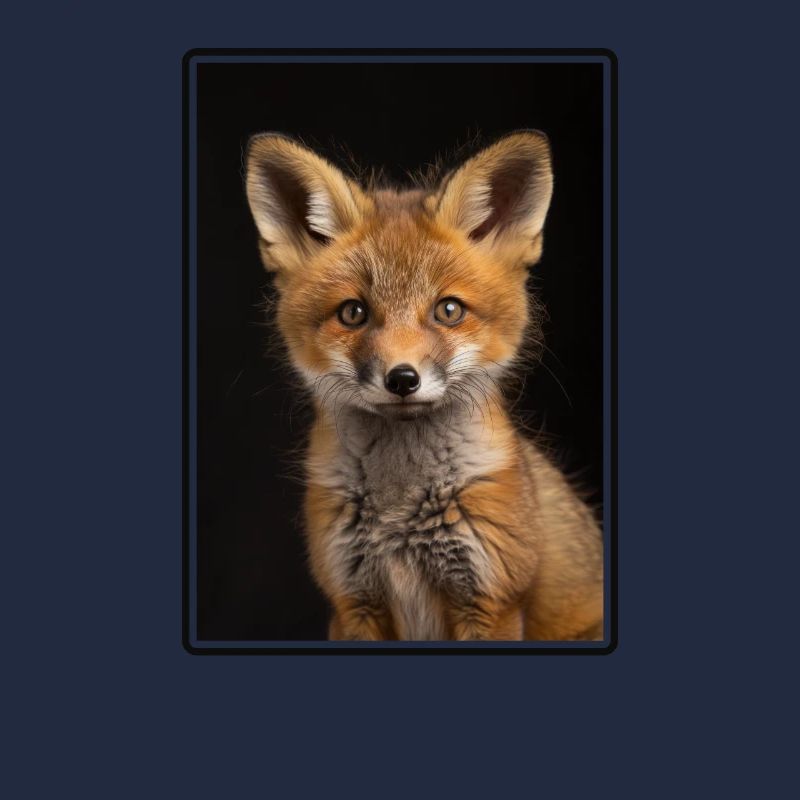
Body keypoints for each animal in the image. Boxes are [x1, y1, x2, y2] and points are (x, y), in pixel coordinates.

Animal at [244, 130, 604, 641]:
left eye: (448, 310)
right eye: (353, 313)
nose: (402, 379)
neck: (400, 510)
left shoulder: (491, 601)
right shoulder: (353, 603)